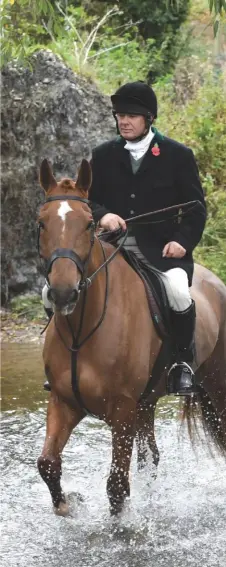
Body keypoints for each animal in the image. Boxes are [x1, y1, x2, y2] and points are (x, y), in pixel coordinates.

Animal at [37, 159, 226, 516]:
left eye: (89, 225)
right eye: (42, 223)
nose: (63, 293)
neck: (81, 331)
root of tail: (215, 281)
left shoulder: (122, 410)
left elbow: (116, 487)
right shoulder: (64, 402)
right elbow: (48, 464)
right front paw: (67, 505)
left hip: (215, 385)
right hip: (147, 401)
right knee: (150, 457)